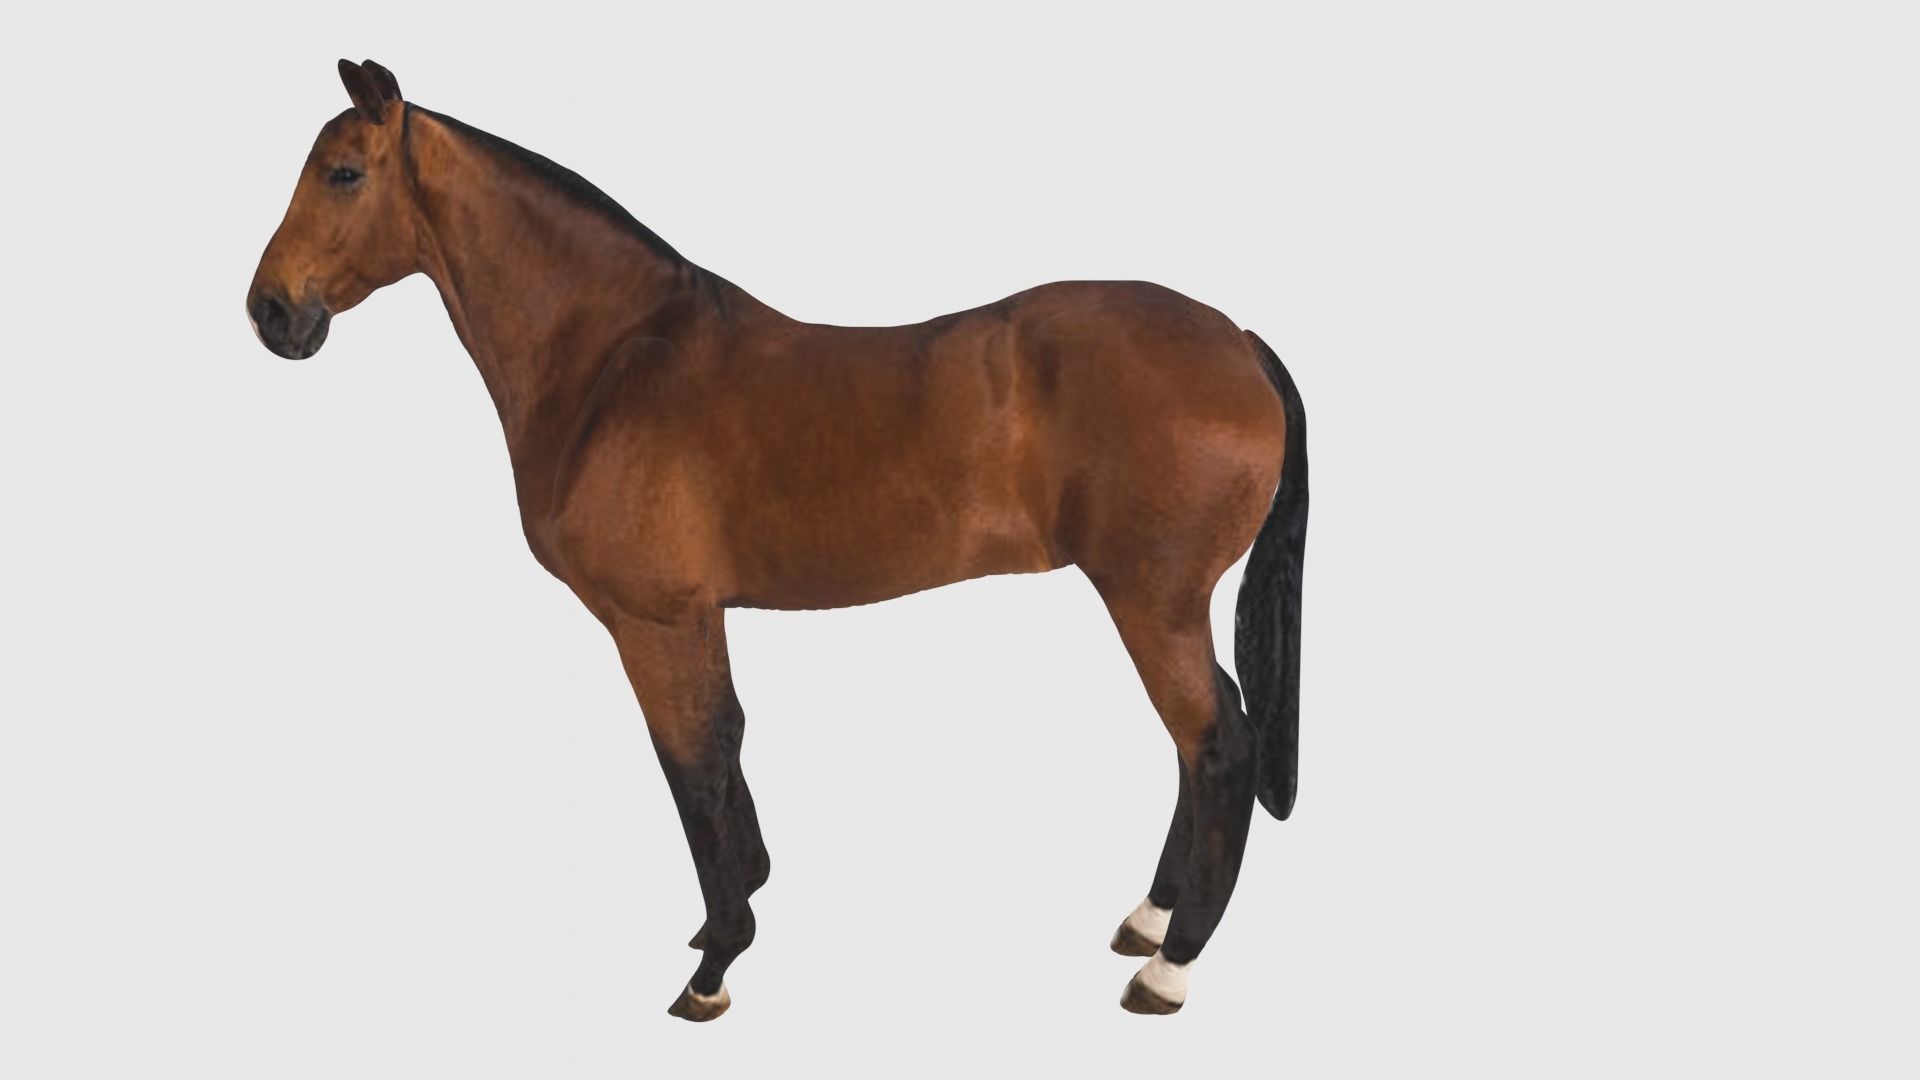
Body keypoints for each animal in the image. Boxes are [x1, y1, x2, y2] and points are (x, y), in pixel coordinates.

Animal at [247, 59, 1308, 1020]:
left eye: (343, 173)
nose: (270, 312)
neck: (611, 362)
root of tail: (1239, 341)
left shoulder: (656, 621)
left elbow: (694, 766)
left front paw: (716, 964)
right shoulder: (695, 618)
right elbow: (725, 753)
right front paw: (735, 909)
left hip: (1152, 601)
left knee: (1218, 747)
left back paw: (1169, 966)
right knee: (1199, 745)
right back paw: (1149, 919)